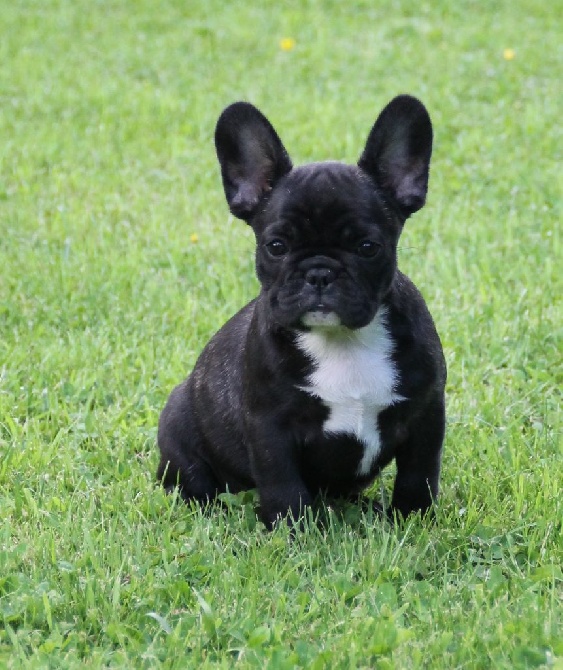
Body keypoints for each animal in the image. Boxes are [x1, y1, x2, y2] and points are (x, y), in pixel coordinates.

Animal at [156, 96, 448, 532]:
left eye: (367, 247)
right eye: (276, 246)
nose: (319, 273)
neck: (343, 342)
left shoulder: (426, 414)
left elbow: (419, 474)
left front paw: (413, 521)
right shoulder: (269, 426)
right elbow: (283, 483)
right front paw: (292, 532)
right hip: (177, 427)